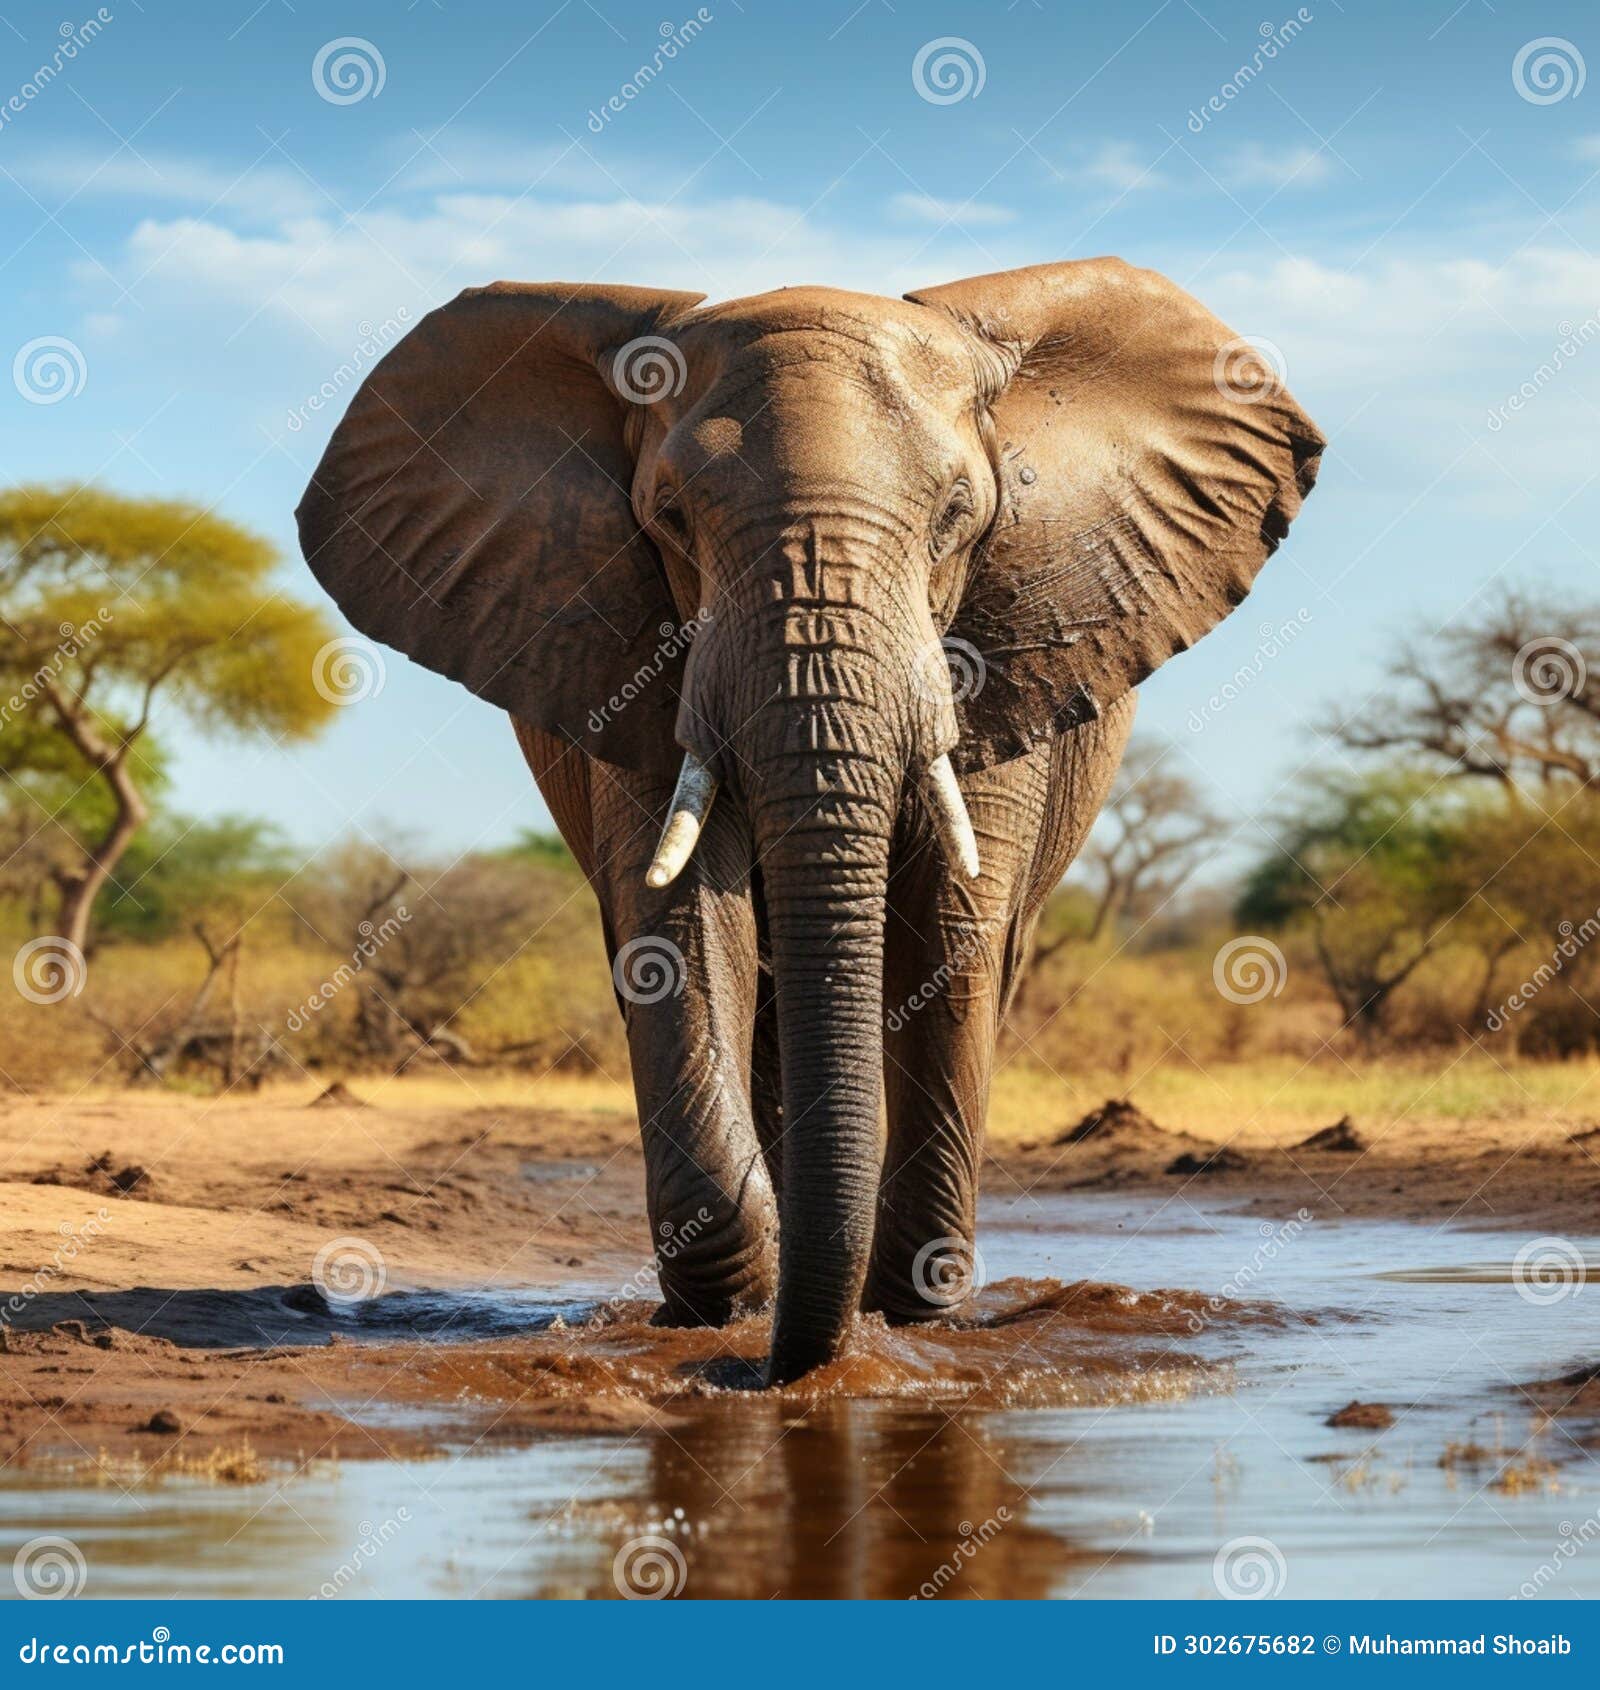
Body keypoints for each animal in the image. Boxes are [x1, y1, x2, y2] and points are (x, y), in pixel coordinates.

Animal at [300, 253, 1324, 1385]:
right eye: (668, 517)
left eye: (958, 515)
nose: (769, 1366)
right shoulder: (632, 654)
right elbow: (678, 930)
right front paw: (730, 1317)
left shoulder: (1003, 650)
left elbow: (951, 932)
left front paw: (910, 1323)